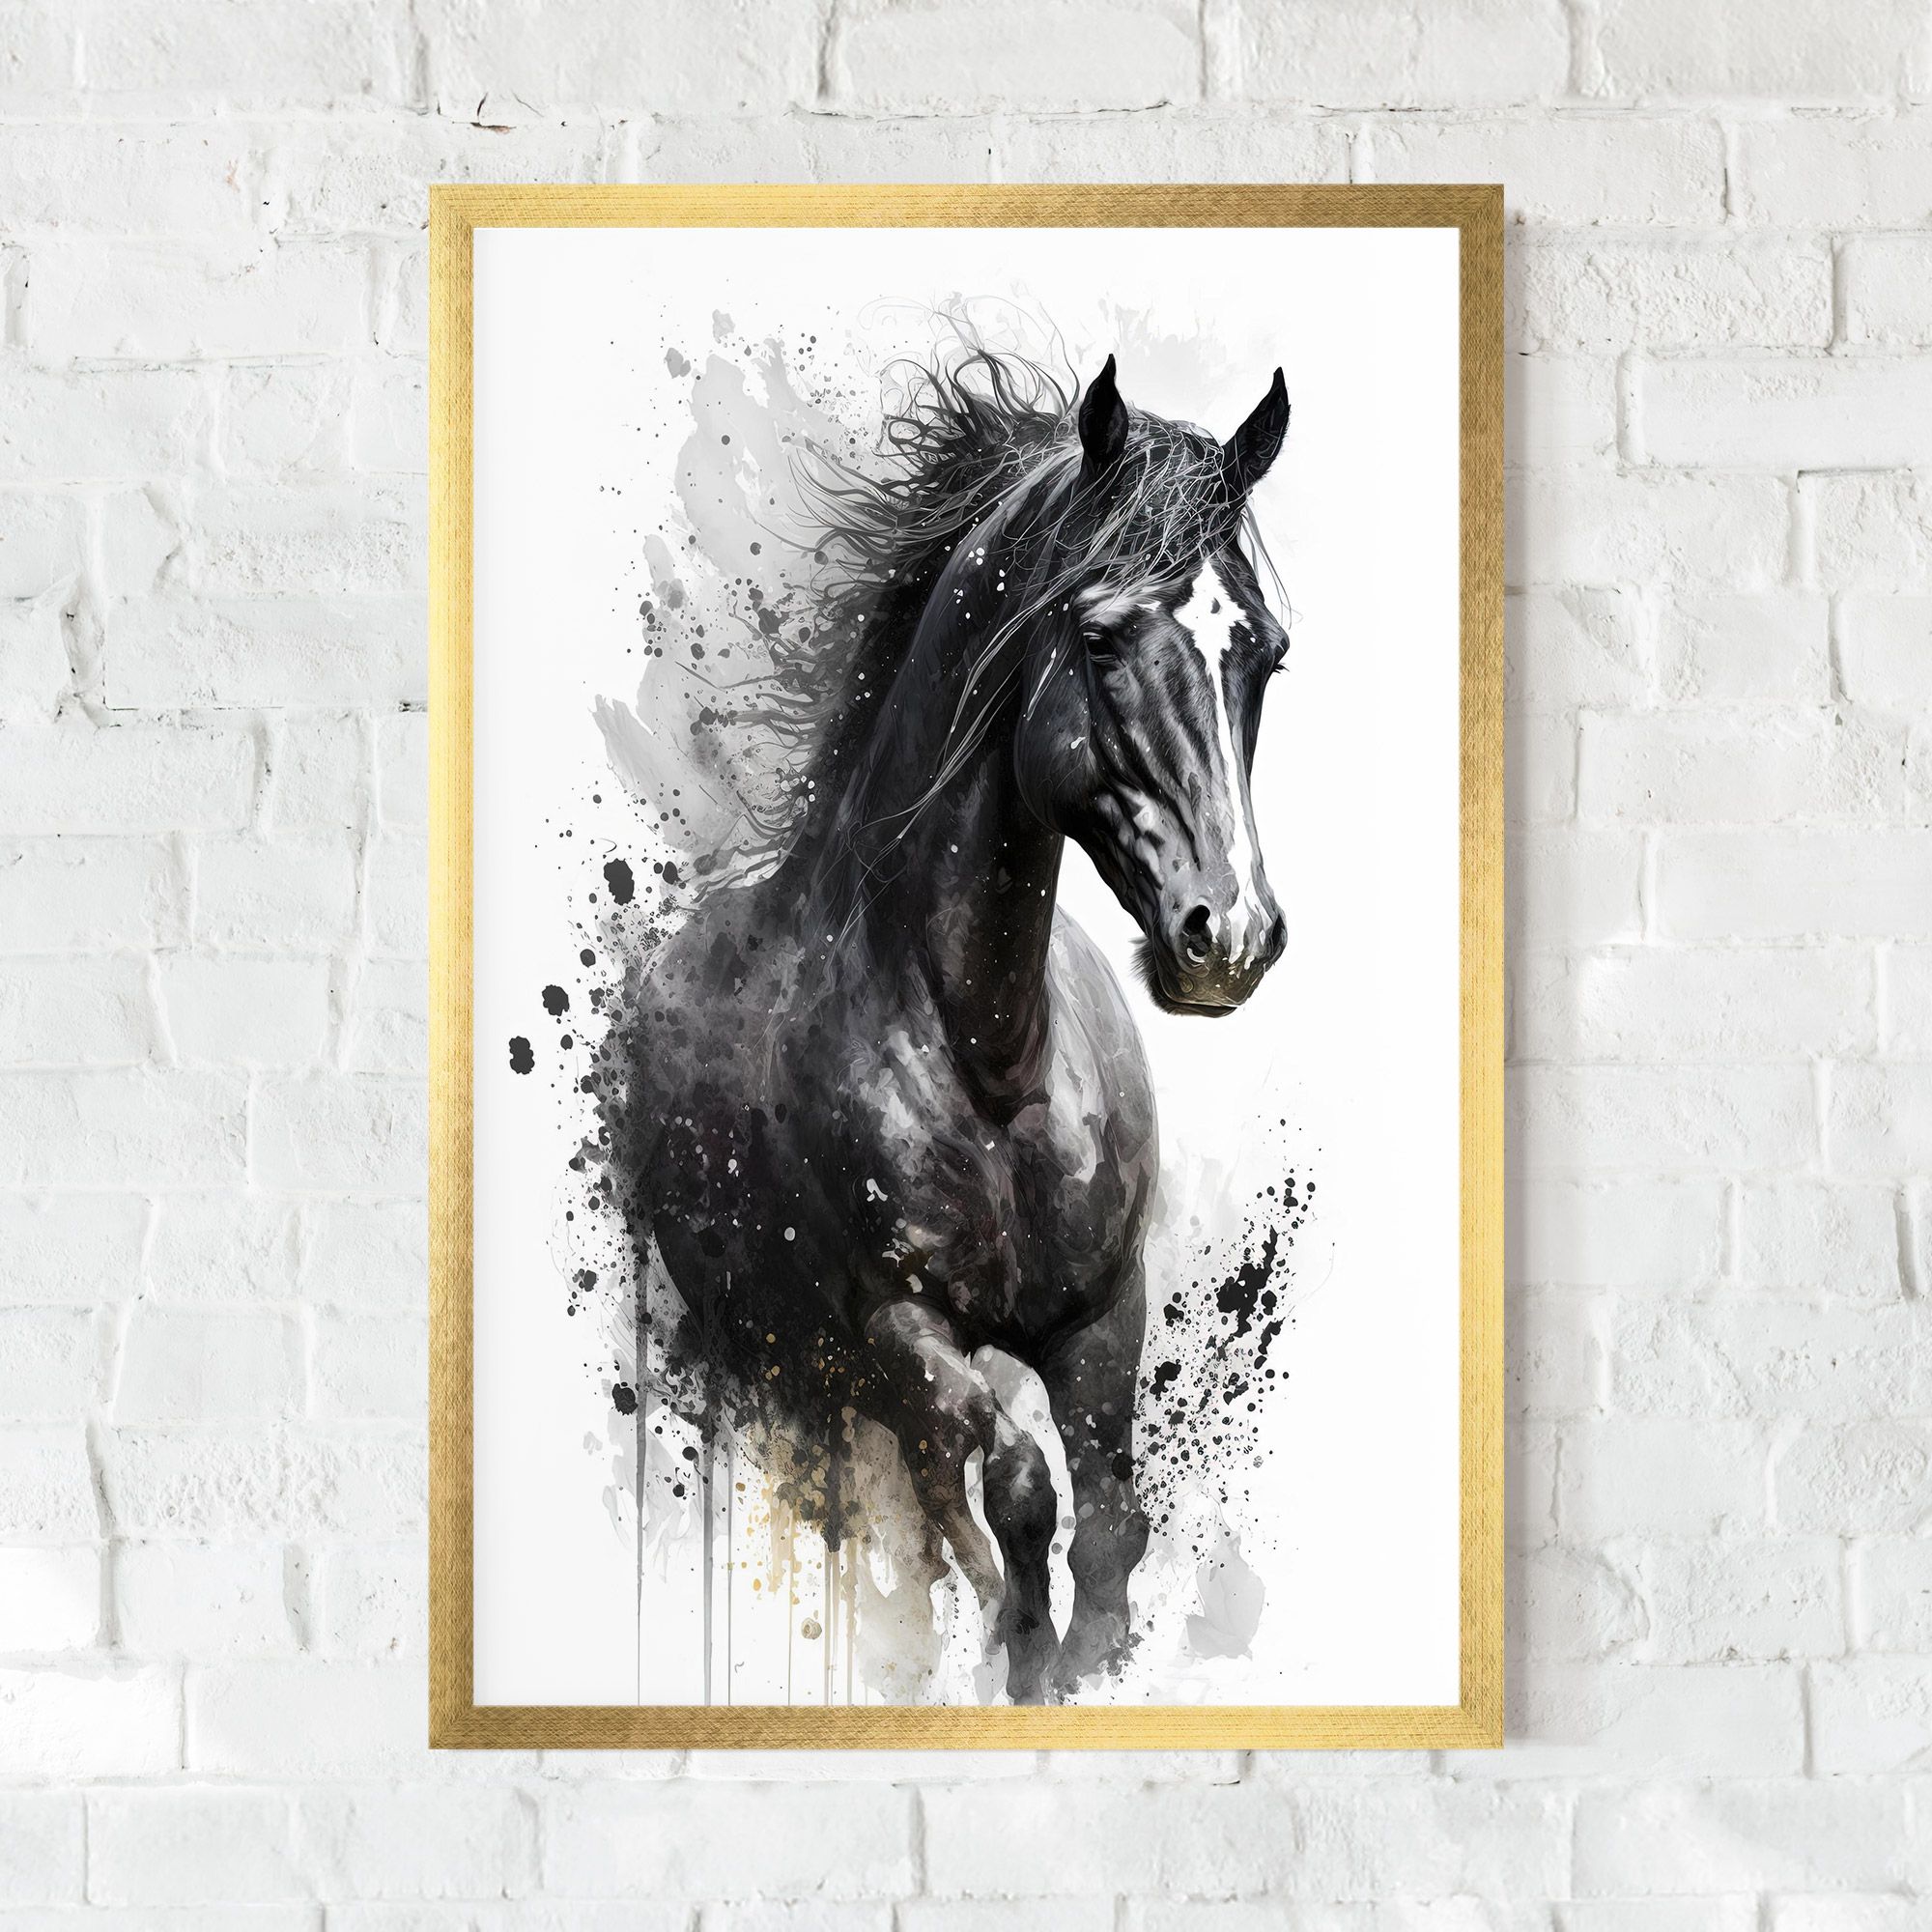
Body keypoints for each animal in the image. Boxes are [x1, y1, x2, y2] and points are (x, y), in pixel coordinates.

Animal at [610, 347, 1293, 1703]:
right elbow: (1021, 1489)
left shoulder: (1102, 1318)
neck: (989, 1057)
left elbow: (1111, 1527)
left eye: (1267, 653)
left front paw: (1083, 1660)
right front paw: (1020, 1659)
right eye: (1097, 634)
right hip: (778, 1356)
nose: (1228, 934)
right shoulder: (897, 1326)